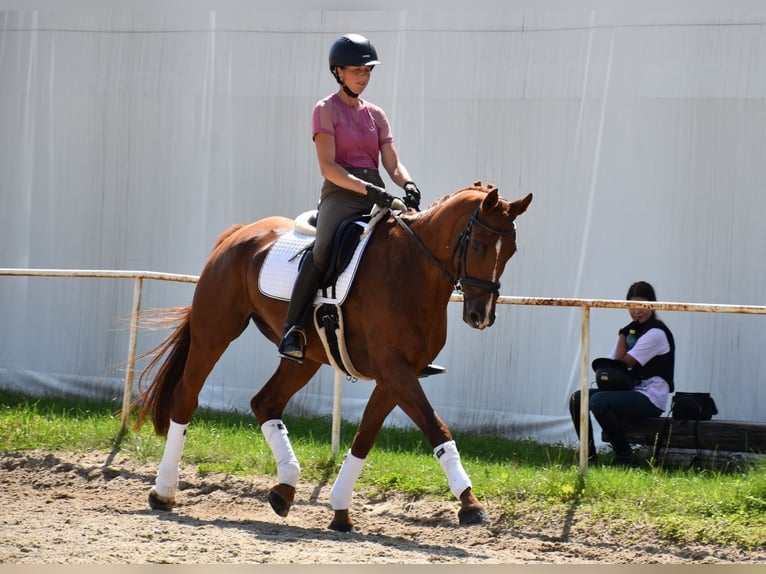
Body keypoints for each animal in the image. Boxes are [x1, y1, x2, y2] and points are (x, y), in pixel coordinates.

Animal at [135, 182, 536, 532]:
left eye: (511, 250)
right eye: (480, 246)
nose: (481, 316)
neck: (411, 271)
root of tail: (238, 233)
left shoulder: (395, 377)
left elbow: (364, 438)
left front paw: (341, 510)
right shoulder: (395, 371)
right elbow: (436, 428)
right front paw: (471, 505)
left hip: (306, 357)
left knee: (265, 402)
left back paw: (284, 489)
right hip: (214, 333)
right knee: (187, 397)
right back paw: (164, 491)